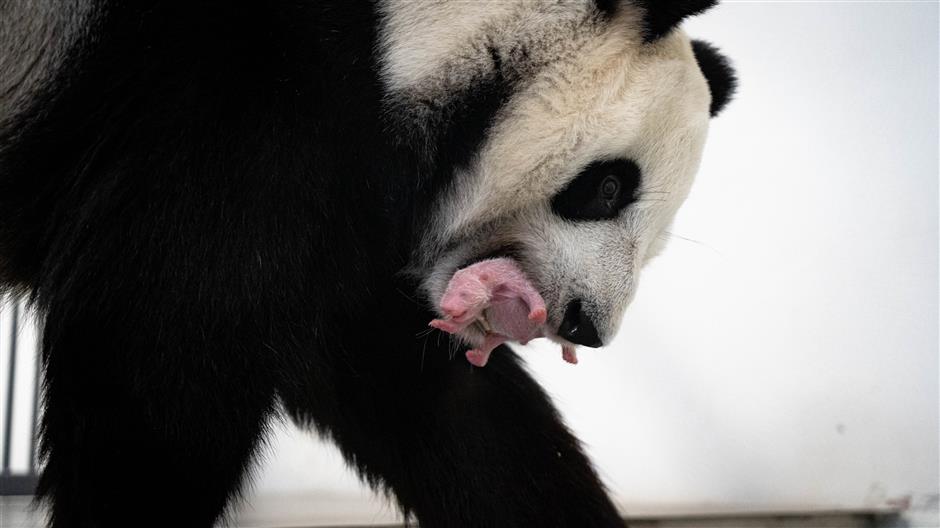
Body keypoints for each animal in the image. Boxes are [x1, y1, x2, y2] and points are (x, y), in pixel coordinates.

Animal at [0, 1, 736, 528]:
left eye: (656, 245)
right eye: (608, 187)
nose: (588, 324)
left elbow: (413, 387)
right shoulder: (232, 102)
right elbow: (161, 357)